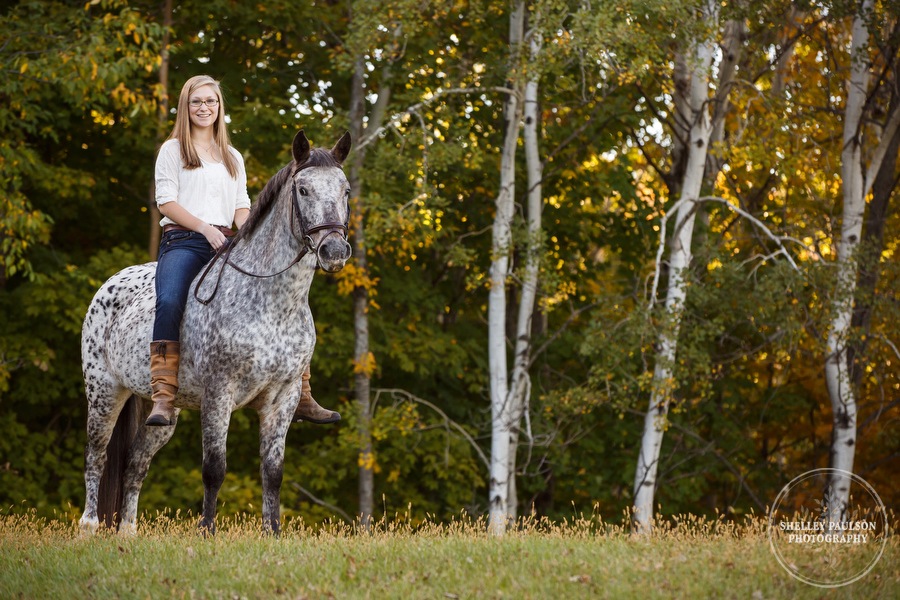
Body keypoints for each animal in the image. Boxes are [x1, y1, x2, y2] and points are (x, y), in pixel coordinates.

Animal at [79, 130, 352, 536]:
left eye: (346, 190)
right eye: (303, 190)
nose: (333, 250)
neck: (270, 301)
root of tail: (109, 284)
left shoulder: (283, 398)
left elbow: (273, 472)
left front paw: (273, 533)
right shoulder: (218, 393)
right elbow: (214, 469)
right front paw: (207, 531)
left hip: (161, 413)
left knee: (135, 464)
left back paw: (127, 532)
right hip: (104, 393)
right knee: (96, 454)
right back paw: (89, 525)